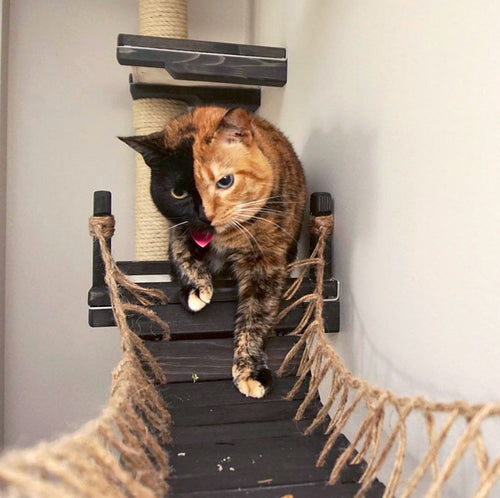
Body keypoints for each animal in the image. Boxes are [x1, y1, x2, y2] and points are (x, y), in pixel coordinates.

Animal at [122, 106, 308, 396]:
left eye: (225, 181)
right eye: (178, 193)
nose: (204, 216)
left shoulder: (266, 260)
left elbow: (256, 314)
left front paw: (249, 371)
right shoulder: (178, 228)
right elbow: (182, 254)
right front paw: (196, 289)